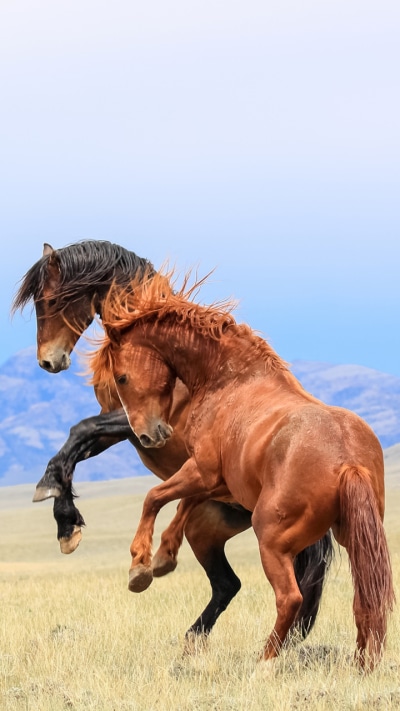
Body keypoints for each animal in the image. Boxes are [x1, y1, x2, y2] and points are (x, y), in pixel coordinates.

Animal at [12, 241, 334, 646]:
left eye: (51, 301)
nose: (48, 362)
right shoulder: (125, 429)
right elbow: (72, 451)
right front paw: (65, 520)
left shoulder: (141, 422)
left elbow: (79, 430)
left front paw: (58, 507)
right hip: (207, 529)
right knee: (227, 584)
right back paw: (188, 635)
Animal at [90, 269, 395, 671]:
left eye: (122, 377)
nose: (149, 434)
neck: (231, 380)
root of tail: (348, 461)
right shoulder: (218, 482)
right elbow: (182, 504)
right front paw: (163, 558)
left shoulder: (202, 470)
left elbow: (154, 497)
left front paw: (140, 567)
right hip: (352, 536)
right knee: (364, 598)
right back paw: (362, 664)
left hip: (273, 541)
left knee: (290, 599)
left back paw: (263, 663)